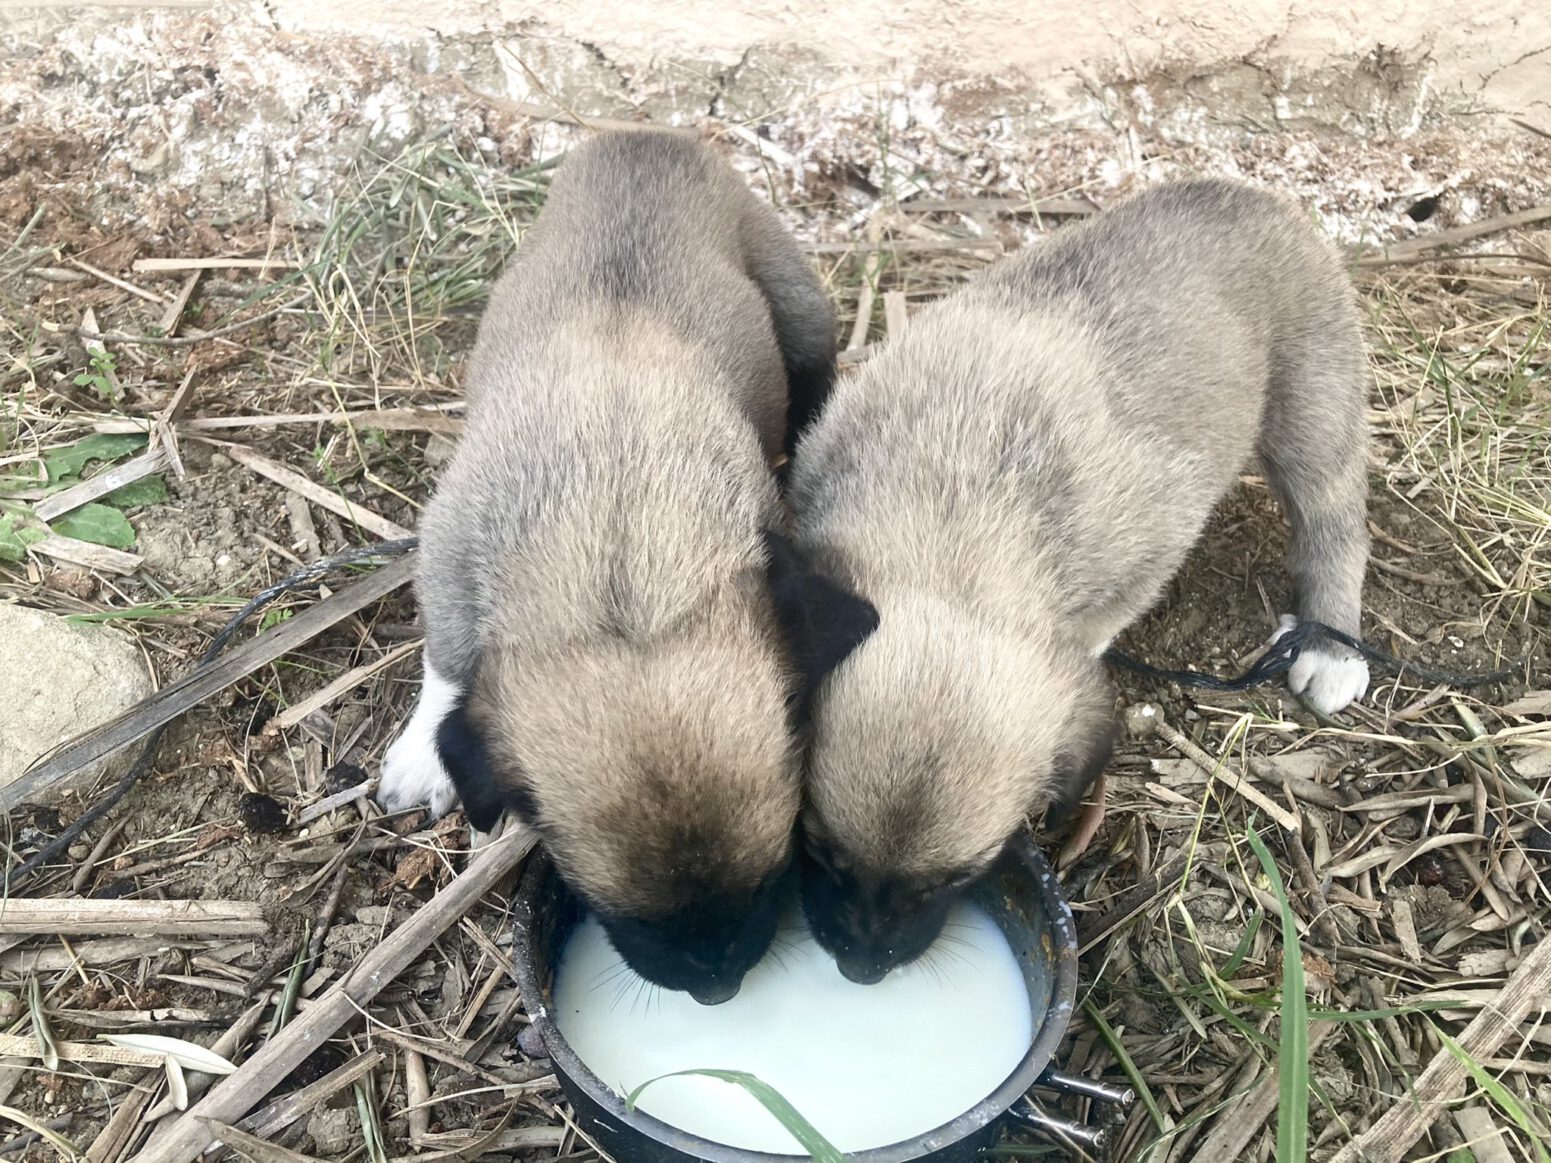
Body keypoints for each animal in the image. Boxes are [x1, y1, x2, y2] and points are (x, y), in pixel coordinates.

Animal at [372, 125, 849, 1004]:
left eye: (772, 881)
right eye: (612, 908)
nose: (716, 987)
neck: (618, 580)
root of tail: (646, 138)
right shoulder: (449, 571)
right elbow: (447, 669)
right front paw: (424, 753)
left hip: (802, 318)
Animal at [787, 179, 1371, 986]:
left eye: (960, 878)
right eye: (817, 848)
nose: (861, 972)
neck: (956, 523)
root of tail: (1242, 193)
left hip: (1313, 416)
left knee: (1336, 522)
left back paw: (1331, 646)